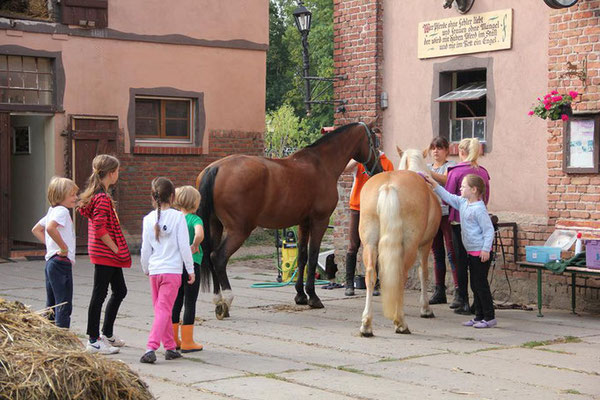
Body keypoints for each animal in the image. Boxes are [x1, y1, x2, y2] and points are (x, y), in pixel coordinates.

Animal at [197, 122, 384, 318]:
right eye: (375, 142)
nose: (378, 170)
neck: (322, 165)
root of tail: (216, 168)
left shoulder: (303, 223)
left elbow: (301, 257)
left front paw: (300, 295)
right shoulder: (320, 221)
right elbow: (312, 256)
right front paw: (313, 297)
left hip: (215, 226)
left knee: (210, 257)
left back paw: (218, 300)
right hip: (239, 230)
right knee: (218, 258)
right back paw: (226, 300)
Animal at [356, 148, 440, 336]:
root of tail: (389, 186)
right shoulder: (426, 245)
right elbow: (423, 273)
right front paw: (426, 309)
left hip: (369, 244)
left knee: (371, 275)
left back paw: (366, 325)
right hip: (409, 245)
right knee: (401, 275)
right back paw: (400, 323)